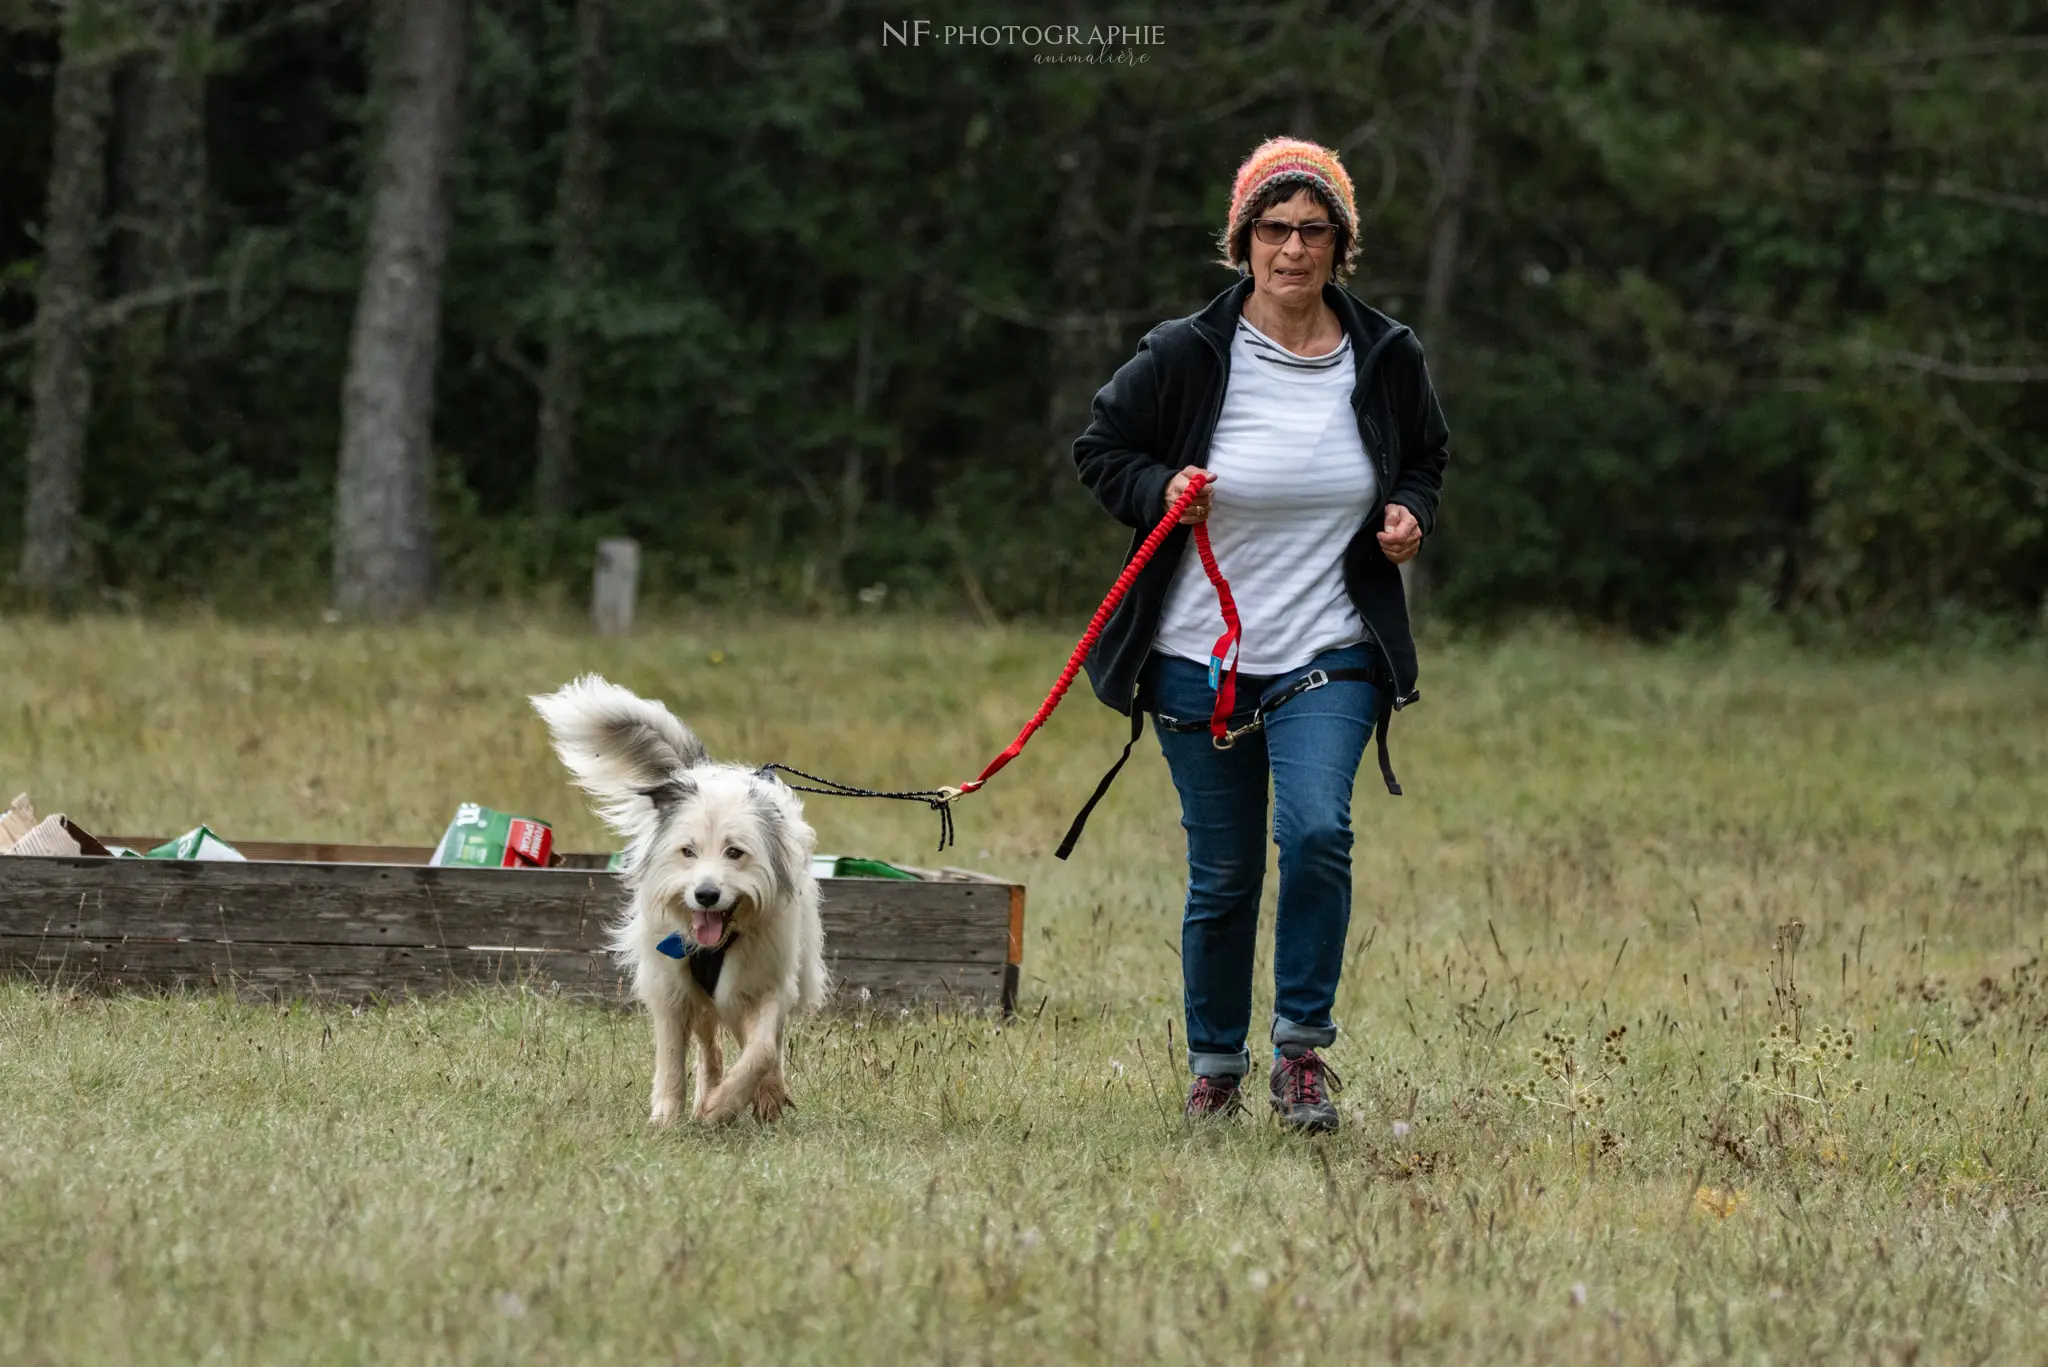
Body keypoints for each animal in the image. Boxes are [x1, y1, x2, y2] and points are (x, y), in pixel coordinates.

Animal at [532, 680, 827, 1131]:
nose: (705, 895)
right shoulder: (670, 986)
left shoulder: (767, 979)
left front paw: (730, 1103)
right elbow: (673, 1054)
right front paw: (669, 1116)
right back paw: (709, 1093)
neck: (718, 941)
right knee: (708, 1045)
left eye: (735, 852)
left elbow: (761, 1050)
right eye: (688, 851)